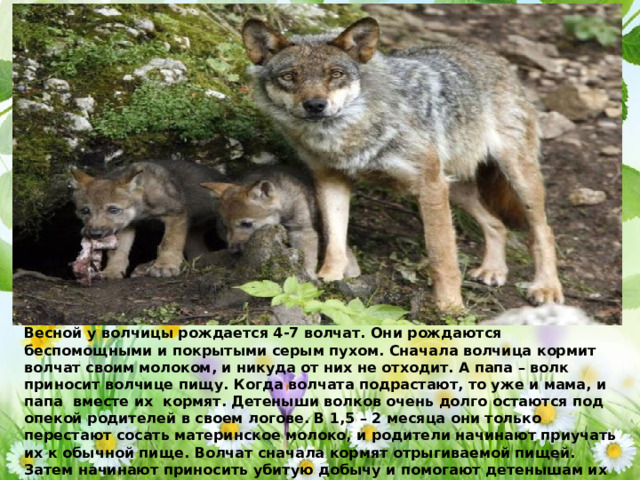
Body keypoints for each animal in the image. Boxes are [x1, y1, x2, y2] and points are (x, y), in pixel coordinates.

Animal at [70, 159, 225, 278]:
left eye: (113, 210)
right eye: (85, 211)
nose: (95, 233)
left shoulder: (176, 213)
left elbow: (168, 242)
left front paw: (165, 266)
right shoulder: (126, 225)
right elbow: (118, 250)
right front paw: (112, 270)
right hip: (193, 235)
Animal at [202, 167, 360, 278]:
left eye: (246, 224)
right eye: (224, 226)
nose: (233, 251)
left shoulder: (302, 230)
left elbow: (307, 256)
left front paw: (309, 275)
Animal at [242, 17, 564, 312]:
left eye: (335, 74)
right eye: (289, 76)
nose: (316, 105)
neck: (343, 137)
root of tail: (491, 55)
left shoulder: (430, 186)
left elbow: (441, 257)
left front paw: (450, 308)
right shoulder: (331, 180)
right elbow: (334, 240)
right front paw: (327, 280)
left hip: (516, 178)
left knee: (543, 231)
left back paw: (546, 287)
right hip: (455, 189)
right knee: (496, 224)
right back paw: (493, 270)